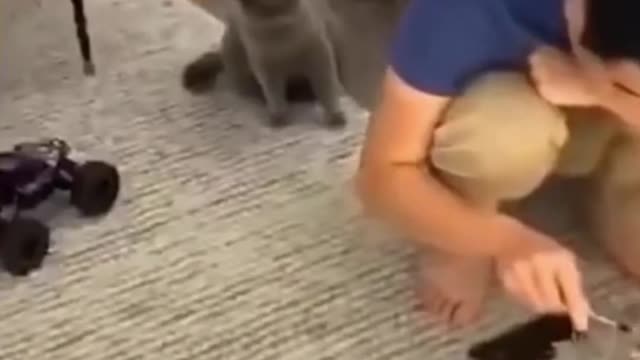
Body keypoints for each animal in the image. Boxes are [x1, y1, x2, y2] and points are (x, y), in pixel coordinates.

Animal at [185, 0, 344, 129]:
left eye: (284, 6)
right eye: (262, 11)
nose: (277, 17)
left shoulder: (320, 56)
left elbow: (327, 89)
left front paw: (335, 116)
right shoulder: (265, 66)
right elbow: (274, 94)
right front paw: (279, 118)